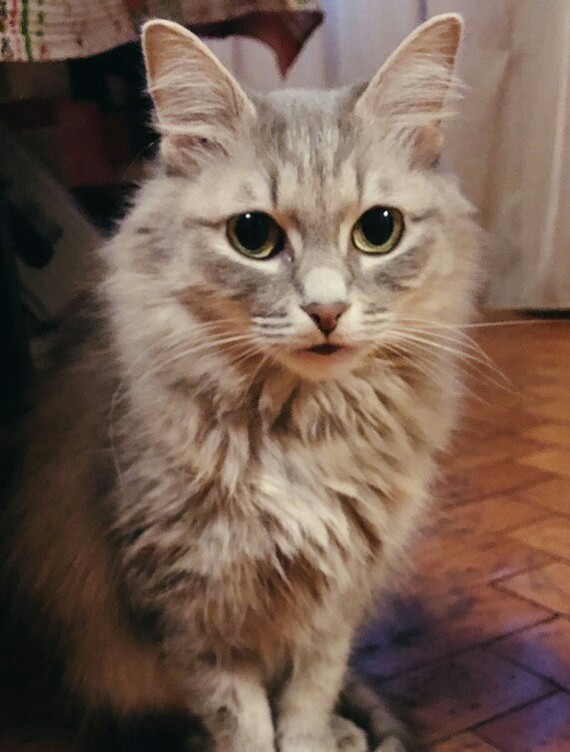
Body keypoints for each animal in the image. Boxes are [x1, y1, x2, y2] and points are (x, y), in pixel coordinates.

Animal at [0, 10, 480, 752]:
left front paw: (316, 738)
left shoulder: (332, 604)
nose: (326, 310)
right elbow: (241, 722)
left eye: (379, 229)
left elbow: (307, 702)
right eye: (253, 236)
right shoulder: (190, 606)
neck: (304, 434)